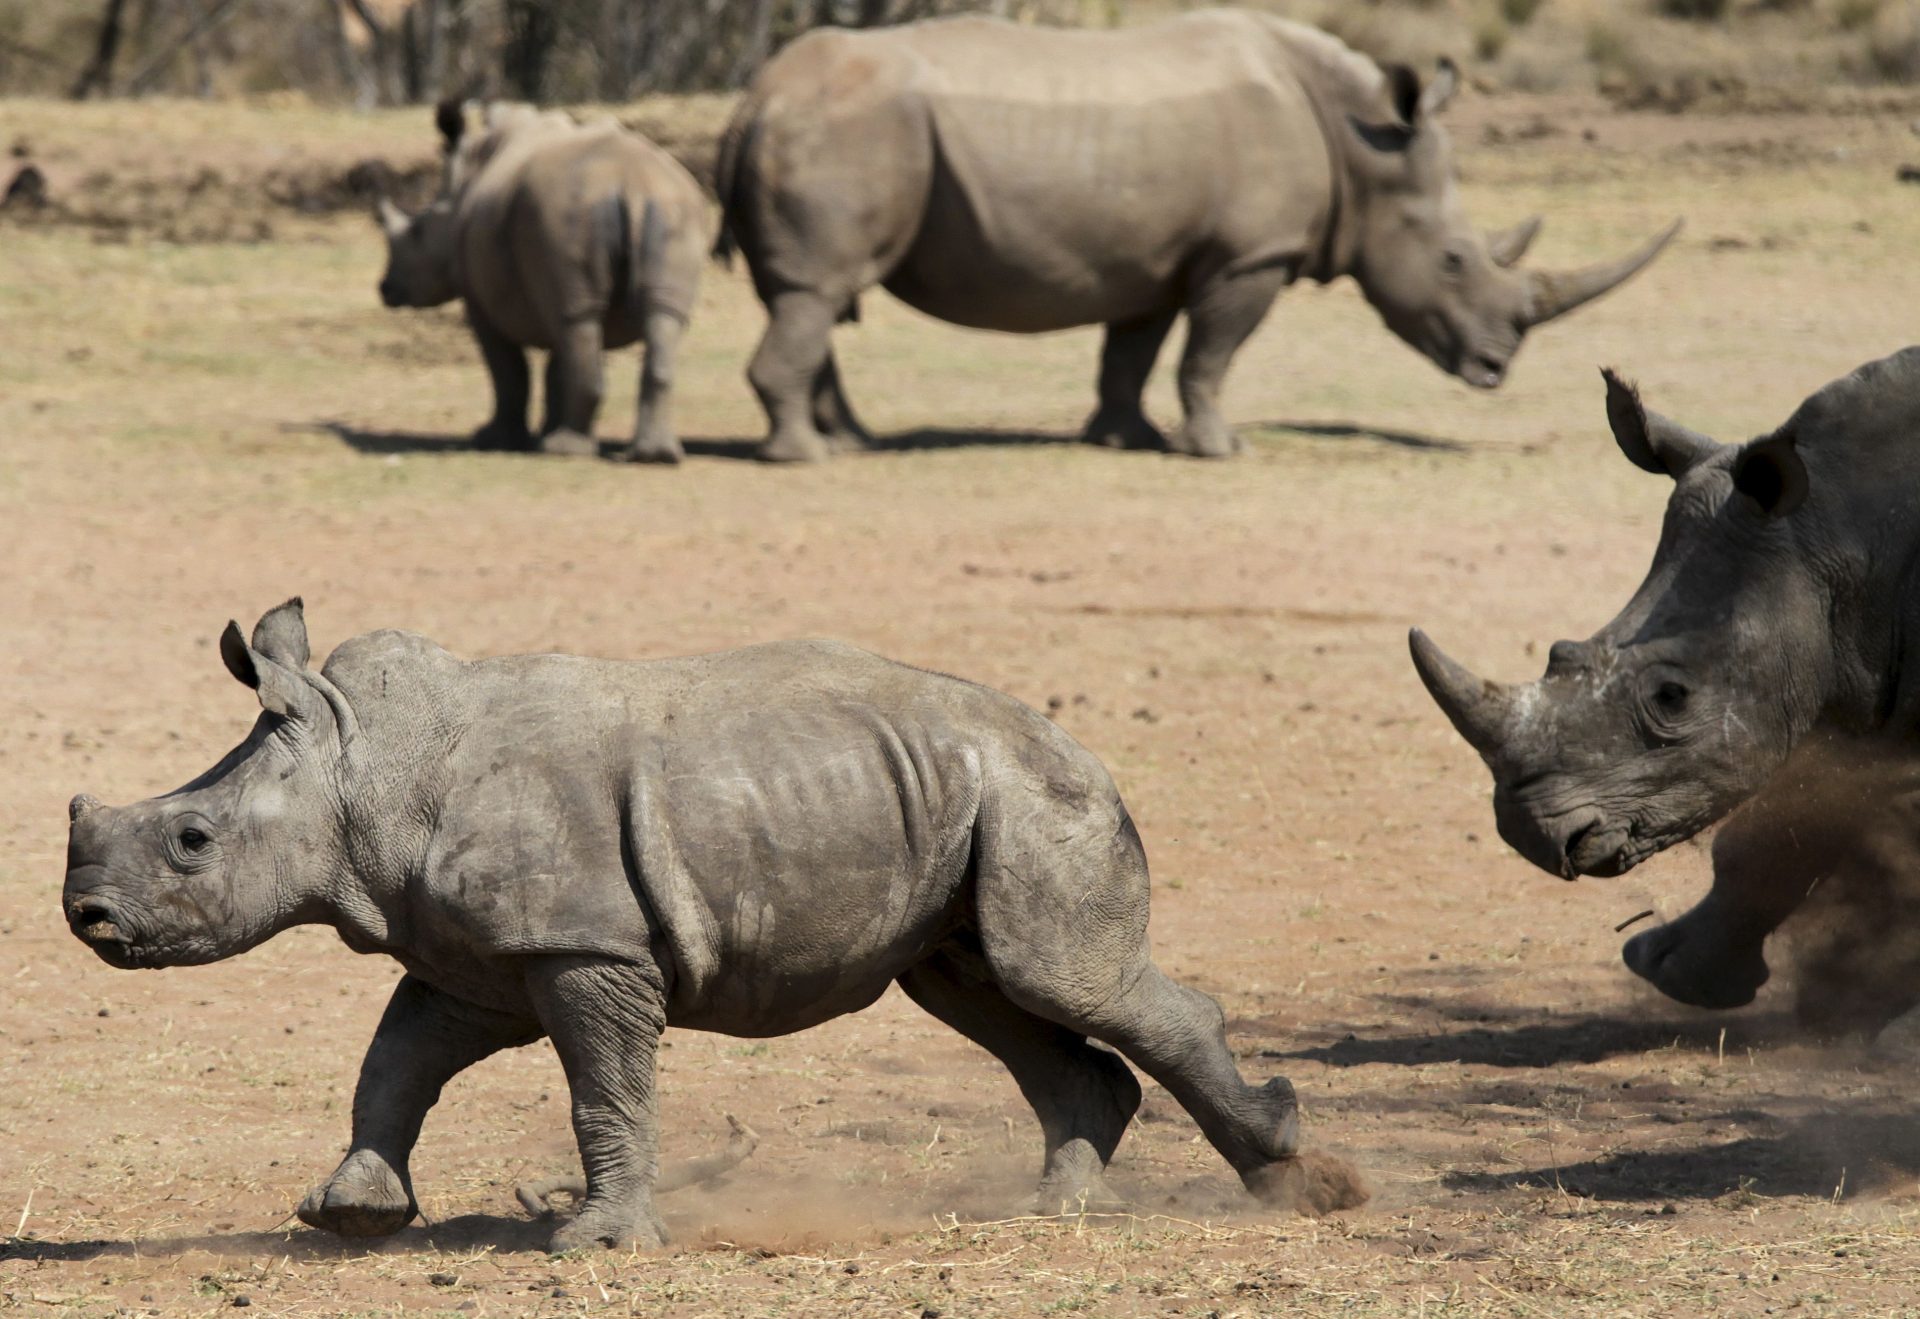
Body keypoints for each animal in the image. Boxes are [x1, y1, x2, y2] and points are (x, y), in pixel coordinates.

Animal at [62, 600, 1363, 1251]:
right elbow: (394, 1063)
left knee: (1063, 979)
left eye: (192, 842)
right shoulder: (477, 954)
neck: (361, 764)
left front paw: (599, 1243)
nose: (87, 915)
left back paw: (1297, 1179)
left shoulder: (585, 942)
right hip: (963, 801)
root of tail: (1082, 746)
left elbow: (602, 1087)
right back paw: (1056, 1210)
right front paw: (348, 1214)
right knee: (986, 992)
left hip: (1042, 799)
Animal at [377, 102, 708, 463]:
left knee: (579, 324)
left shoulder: (478, 298)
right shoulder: (550, 282)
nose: (385, 289)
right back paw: (655, 455)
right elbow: (557, 368)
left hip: (565, 212)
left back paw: (565, 450)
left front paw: (495, 440)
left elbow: (507, 370)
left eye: (417, 231)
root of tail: (631, 183)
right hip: (671, 211)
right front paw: (543, 432)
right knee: (658, 316)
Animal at [712, 8, 1678, 463]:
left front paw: (1123, 437)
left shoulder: (1148, 260)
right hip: (845, 131)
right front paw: (1222, 447)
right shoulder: (1250, 256)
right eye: (1453, 259)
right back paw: (807, 457)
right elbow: (1211, 354)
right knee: (816, 291)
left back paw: (851, 440)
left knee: (815, 292)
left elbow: (1132, 354)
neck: (1359, 139)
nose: (1495, 368)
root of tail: (756, 94)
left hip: (832, 127)